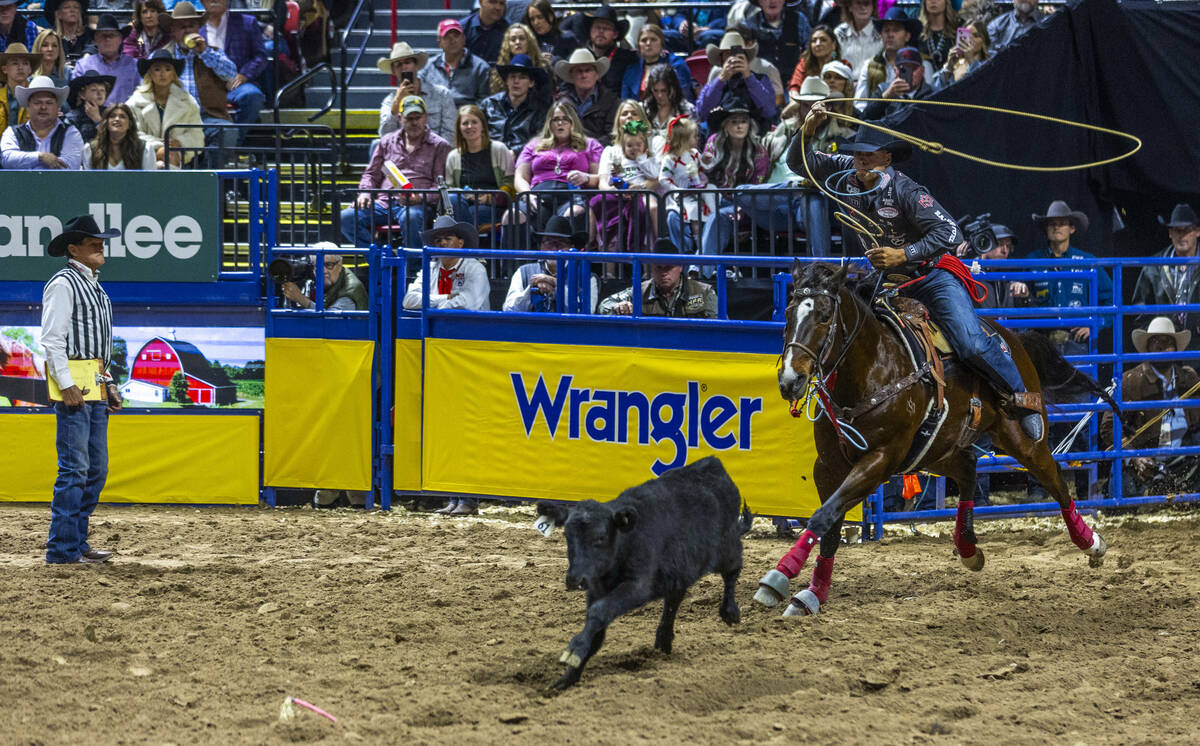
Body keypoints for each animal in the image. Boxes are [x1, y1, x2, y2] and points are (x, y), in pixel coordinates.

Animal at [753, 262, 1118, 618]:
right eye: (789, 312)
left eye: (825, 315)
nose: (790, 380)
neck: (873, 370)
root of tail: (1011, 337)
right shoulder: (828, 466)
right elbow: (828, 524)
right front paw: (812, 593)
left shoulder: (879, 461)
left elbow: (823, 516)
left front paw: (778, 578)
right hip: (933, 450)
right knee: (968, 469)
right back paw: (968, 548)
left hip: (1020, 440)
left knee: (1054, 477)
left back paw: (1091, 543)